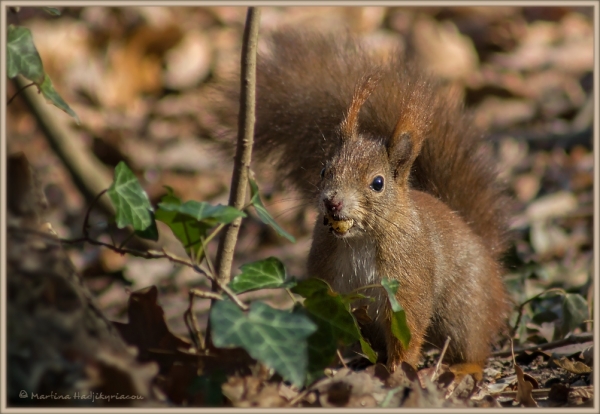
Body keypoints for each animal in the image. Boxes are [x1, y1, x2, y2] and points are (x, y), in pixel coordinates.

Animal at [227, 29, 512, 376]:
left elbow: (409, 329)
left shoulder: (407, 285)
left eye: (378, 183)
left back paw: (460, 369)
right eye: (324, 170)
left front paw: (399, 370)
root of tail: (488, 255)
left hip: (465, 308)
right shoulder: (329, 284)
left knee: (473, 348)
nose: (333, 202)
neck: (358, 241)